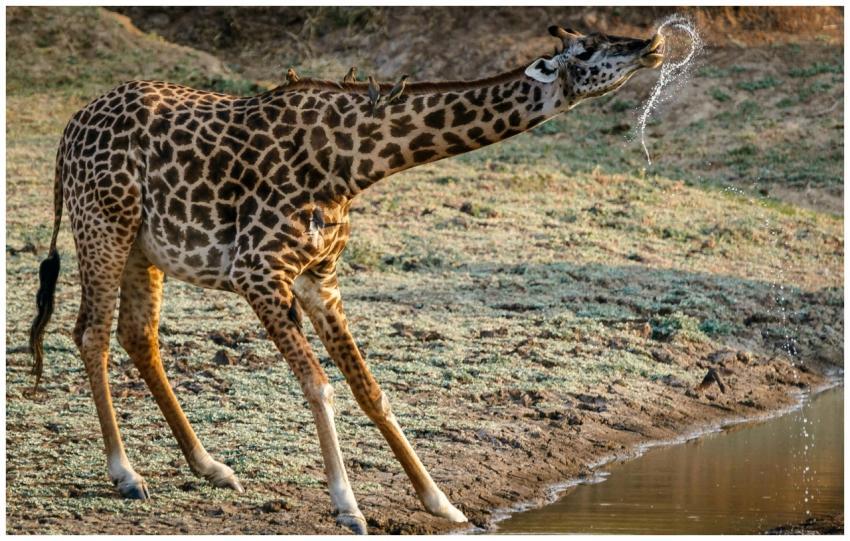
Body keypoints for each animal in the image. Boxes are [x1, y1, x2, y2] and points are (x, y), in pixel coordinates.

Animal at [29, 26, 664, 533]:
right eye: (589, 49)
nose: (652, 44)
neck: (353, 162)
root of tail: (65, 135)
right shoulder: (257, 270)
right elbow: (320, 384)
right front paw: (348, 508)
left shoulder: (319, 276)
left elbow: (369, 388)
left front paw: (441, 502)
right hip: (104, 225)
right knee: (91, 333)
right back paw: (126, 474)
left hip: (144, 247)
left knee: (138, 336)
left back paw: (212, 467)